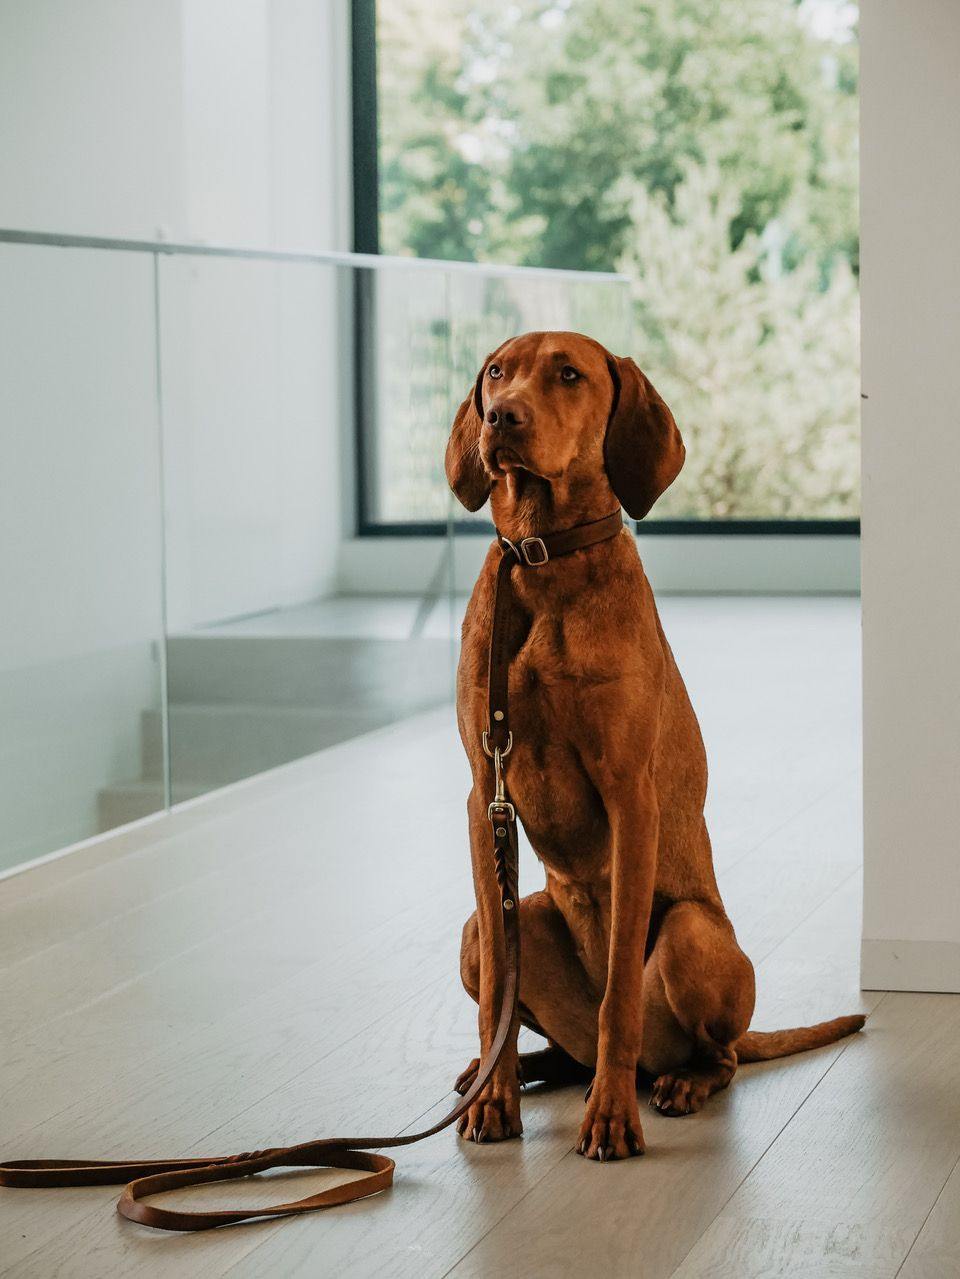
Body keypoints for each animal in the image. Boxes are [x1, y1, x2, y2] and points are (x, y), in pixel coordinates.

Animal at [447, 329, 869, 1161]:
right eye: (496, 372)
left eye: (568, 373)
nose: (502, 417)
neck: (543, 557)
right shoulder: (486, 794)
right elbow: (500, 998)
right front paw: (495, 1099)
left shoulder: (628, 797)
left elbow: (619, 995)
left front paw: (611, 1119)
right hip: (485, 929)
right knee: (553, 1034)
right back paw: (505, 1070)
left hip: (688, 935)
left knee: (712, 1051)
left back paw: (673, 1083)